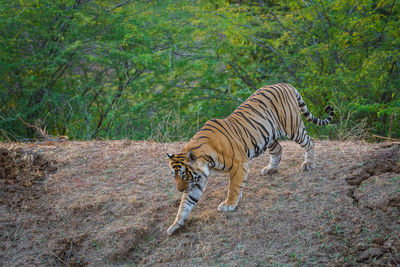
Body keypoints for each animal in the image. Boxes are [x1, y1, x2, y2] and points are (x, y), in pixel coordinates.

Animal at [166, 82, 334, 236]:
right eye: (174, 176)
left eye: (184, 175)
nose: (179, 190)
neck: (206, 161)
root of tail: (285, 84)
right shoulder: (197, 179)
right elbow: (186, 203)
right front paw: (175, 224)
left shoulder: (240, 164)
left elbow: (234, 187)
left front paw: (229, 205)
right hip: (268, 135)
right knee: (278, 149)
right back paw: (270, 169)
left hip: (292, 127)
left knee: (310, 141)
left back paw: (309, 164)